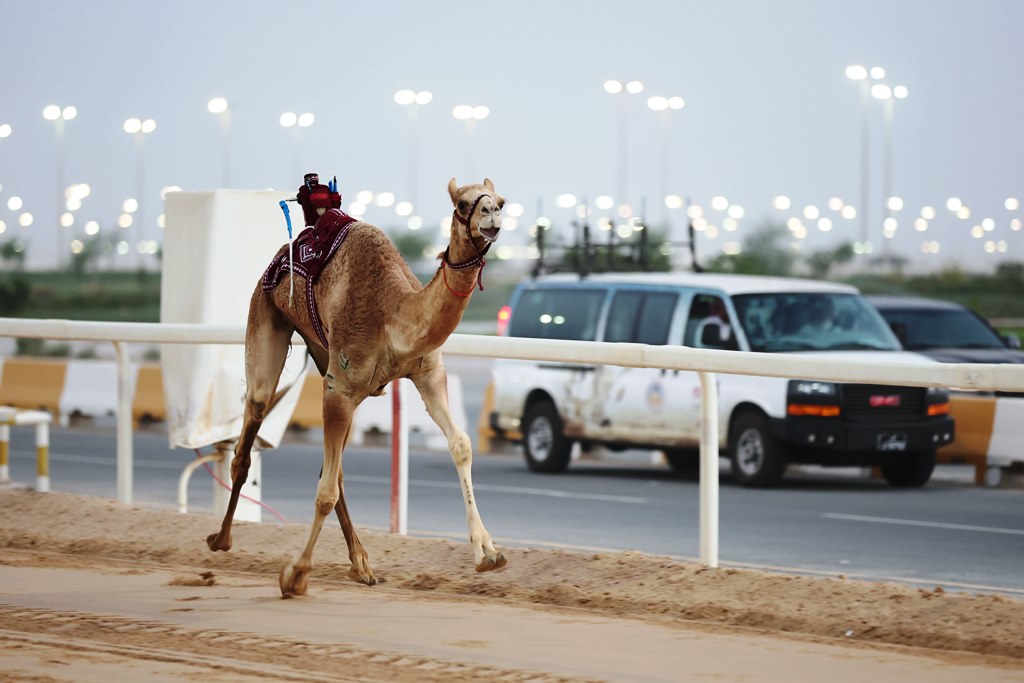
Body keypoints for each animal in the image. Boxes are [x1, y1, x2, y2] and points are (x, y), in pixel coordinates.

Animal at [204, 178, 507, 598]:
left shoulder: (428, 374)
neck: (394, 314)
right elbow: (324, 492)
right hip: (265, 313)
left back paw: (362, 564)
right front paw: (295, 574)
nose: (490, 215)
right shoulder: (341, 388)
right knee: (249, 435)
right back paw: (221, 538)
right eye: (463, 204)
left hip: (325, 355)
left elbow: (460, 444)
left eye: (502, 201)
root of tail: (280, 254)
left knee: (335, 469)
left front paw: (487, 552)